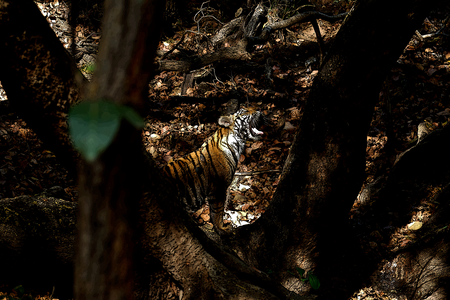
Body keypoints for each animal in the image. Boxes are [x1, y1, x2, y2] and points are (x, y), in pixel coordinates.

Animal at [163, 106, 266, 236]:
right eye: (245, 111)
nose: (259, 111)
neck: (236, 143)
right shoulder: (218, 188)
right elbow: (217, 211)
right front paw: (222, 229)